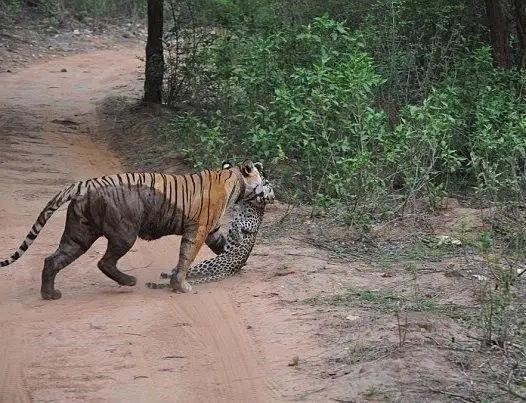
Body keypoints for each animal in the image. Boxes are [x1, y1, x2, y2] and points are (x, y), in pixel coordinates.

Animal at [0, 161, 264, 300]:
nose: (268, 190)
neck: (234, 179)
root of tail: (85, 184)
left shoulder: (212, 229)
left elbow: (222, 246)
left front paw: (235, 262)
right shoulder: (198, 229)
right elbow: (186, 258)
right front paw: (181, 286)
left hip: (79, 234)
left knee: (53, 259)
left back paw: (50, 294)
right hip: (124, 233)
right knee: (104, 261)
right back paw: (129, 281)